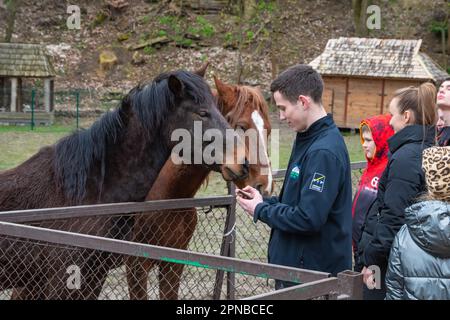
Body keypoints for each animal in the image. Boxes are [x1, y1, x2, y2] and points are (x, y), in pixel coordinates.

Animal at [127, 73, 274, 300]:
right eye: (241, 126)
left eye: (267, 128)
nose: (264, 184)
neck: (168, 197)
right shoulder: (135, 266)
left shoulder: (173, 263)